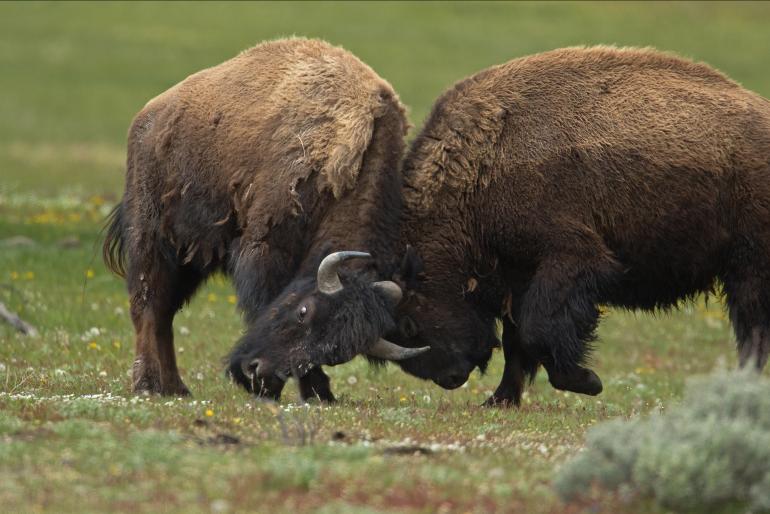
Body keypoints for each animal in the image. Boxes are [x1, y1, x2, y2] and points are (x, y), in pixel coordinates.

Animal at [103, 38, 423, 398]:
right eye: (303, 312)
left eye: (335, 353)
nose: (258, 374)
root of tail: (149, 116)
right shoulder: (265, 248)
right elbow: (261, 299)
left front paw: (319, 392)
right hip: (151, 238)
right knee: (148, 305)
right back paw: (147, 385)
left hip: (192, 256)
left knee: (165, 314)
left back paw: (176, 387)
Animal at [227, 46, 770, 406]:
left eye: (409, 322)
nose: (448, 376)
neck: (483, 166)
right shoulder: (512, 276)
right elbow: (517, 342)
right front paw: (502, 399)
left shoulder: (569, 259)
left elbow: (536, 329)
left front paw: (586, 382)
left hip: (748, 269)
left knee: (753, 332)